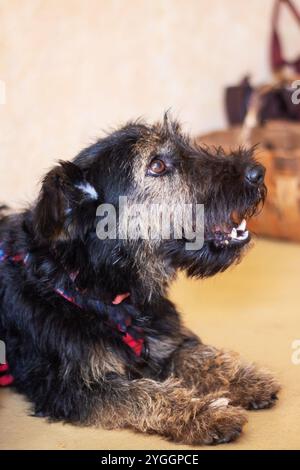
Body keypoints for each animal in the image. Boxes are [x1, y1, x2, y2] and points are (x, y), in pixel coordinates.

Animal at [0, 116, 278, 444]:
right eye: (156, 165)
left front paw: (244, 378)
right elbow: (145, 394)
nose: (257, 172)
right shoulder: (72, 388)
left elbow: (198, 356)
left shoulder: (163, 339)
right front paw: (204, 414)